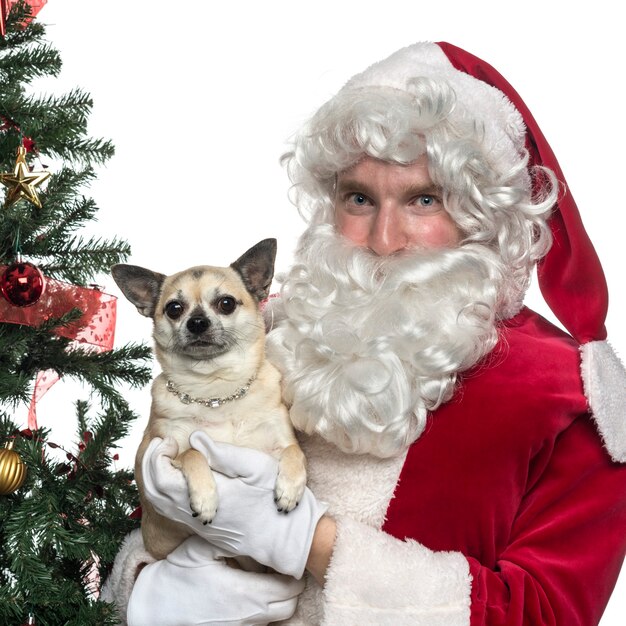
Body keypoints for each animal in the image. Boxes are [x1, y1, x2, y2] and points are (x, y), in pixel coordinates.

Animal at [113, 238, 308, 556]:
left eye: (226, 303)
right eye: (174, 308)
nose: (197, 322)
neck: (216, 391)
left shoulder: (279, 442)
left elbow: (295, 452)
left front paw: (289, 489)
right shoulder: (158, 449)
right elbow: (191, 452)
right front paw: (205, 499)